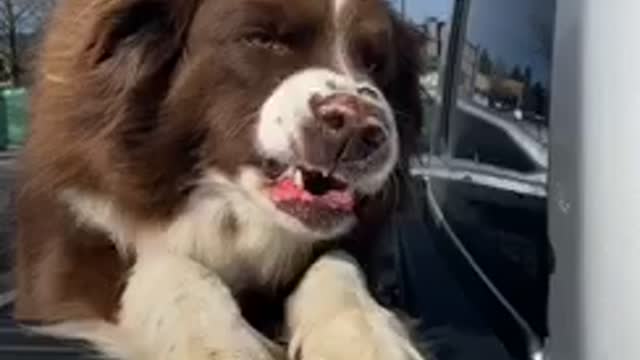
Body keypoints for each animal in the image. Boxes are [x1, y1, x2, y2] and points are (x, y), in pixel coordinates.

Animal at [13, 0, 424, 358]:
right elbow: (166, 265)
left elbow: (338, 265)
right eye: (261, 39)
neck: (225, 205)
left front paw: (367, 340)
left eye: (375, 63)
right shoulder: (67, 247)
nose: (359, 128)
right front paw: (221, 344)